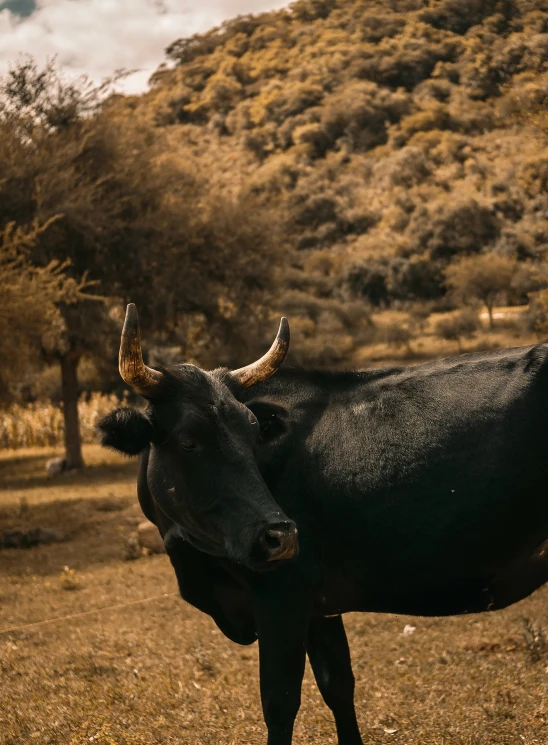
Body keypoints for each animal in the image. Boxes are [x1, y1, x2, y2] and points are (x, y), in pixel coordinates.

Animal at [100, 304, 548, 744]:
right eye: (189, 440)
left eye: (253, 436)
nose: (280, 537)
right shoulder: (320, 607)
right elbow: (338, 686)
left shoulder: (284, 593)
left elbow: (279, 702)